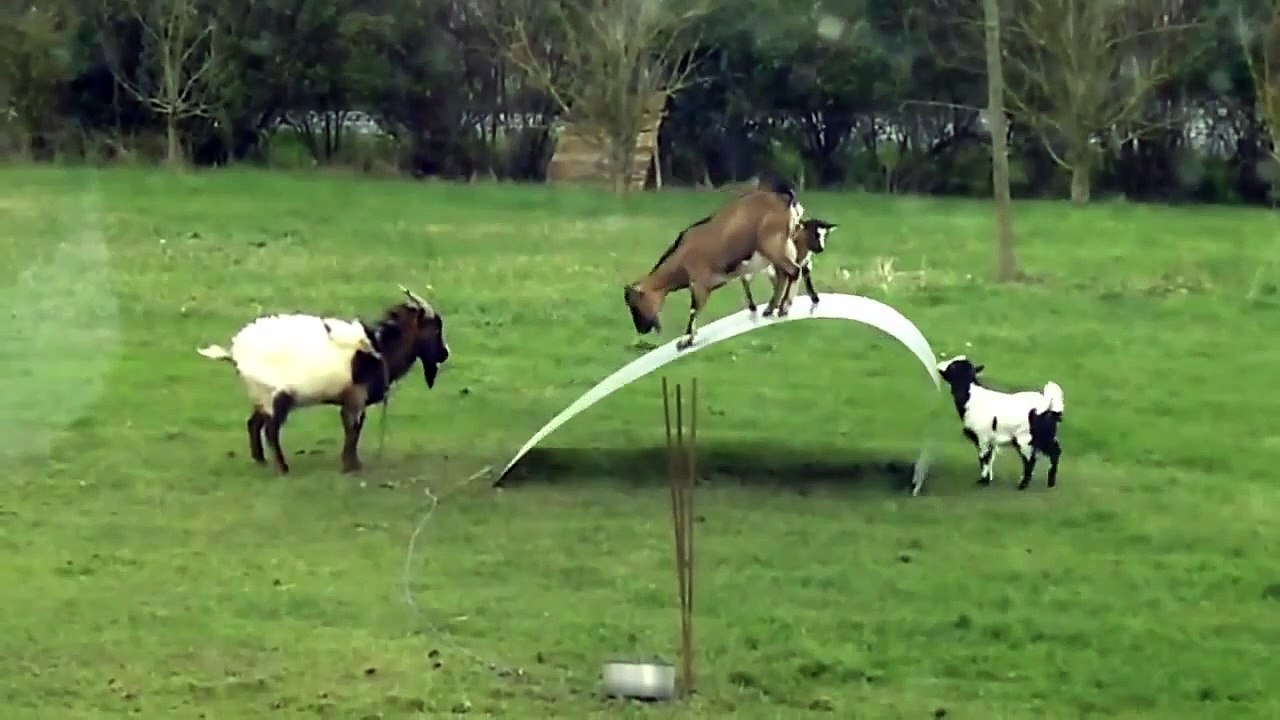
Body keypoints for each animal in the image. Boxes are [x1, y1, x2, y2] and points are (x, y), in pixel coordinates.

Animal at [197, 285, 450, 474]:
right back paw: (283, 468)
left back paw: (260, 461)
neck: (381, 349)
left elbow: (356, 429)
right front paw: (350, 466)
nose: (444, 354)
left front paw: (353, 463)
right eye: (435, 328)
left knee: (253, 424)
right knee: (270, 430)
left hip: (261, 395)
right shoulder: (355, 397)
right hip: (277, 395)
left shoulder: (353, 399)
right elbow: (352, 429)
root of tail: (235, 352)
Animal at [623, 185, 805, 350]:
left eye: (635, 304)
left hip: (774, 245)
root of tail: (786, 199)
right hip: (783, 247)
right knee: (784, 274)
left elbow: (693, 310)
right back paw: (770, 308)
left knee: (794, 270)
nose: (641, 329)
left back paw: (783, 308)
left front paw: (685, 340)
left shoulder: (700, 283)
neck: (681, 259)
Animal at [935, 355, 1064, 491]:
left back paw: (1023, 485)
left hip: (1026, 439)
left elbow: (984, 458)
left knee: (1030, 460)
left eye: (953, 366)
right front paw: (988, 479)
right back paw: (1051, 482)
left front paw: (983, 480)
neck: (971, 397)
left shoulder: (983, 438)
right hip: (1046, 436)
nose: (938, 366)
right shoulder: (990, 439)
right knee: (1055, 452)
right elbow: (989, 458)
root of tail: (1050, 407)